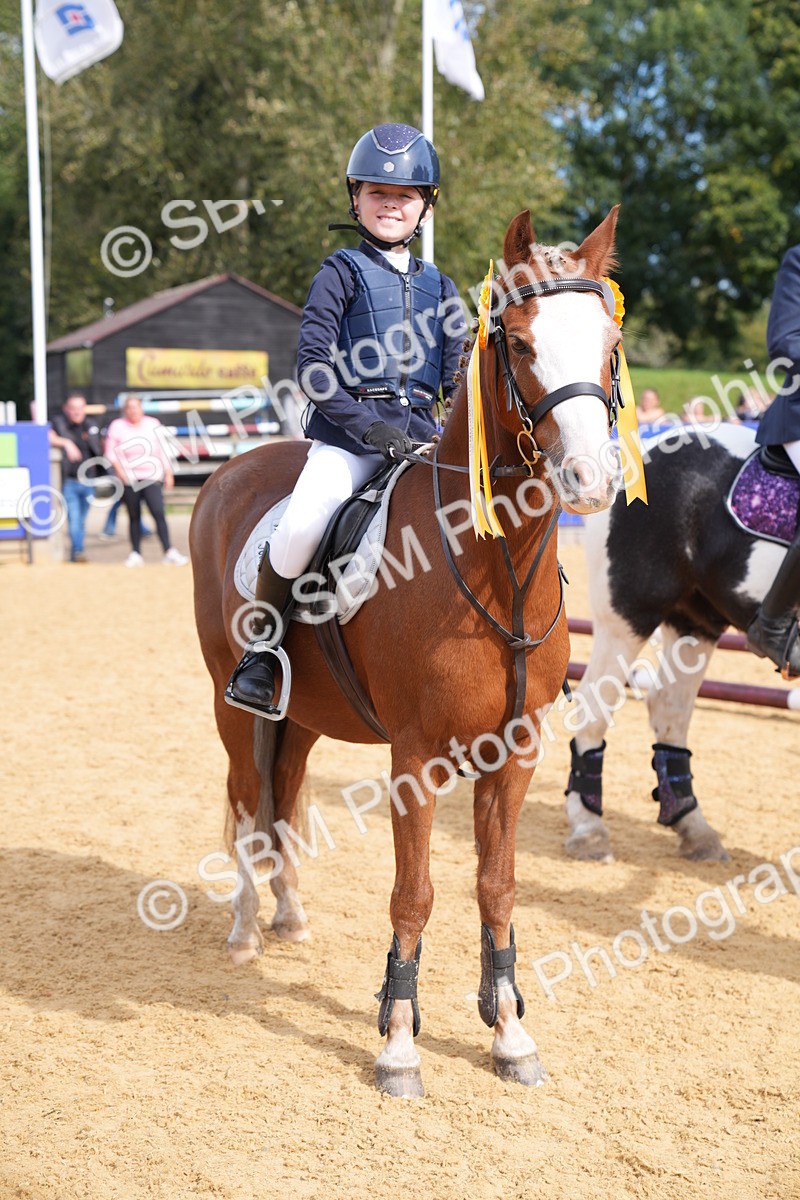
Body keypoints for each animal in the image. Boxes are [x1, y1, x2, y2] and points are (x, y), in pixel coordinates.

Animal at [190, 207, 624, 1098]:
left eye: (609, 342)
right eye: (519, 343)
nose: (592, 479)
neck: (492, 572)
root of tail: (230, 470)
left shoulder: (515, 754)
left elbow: (496, 885)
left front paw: (510, 1031)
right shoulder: (415, 760)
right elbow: (413, 894)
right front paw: (397, 1042)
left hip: (304, 715)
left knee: (284, 793)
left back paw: (290, 915)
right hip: (229, 702)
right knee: (249, 802)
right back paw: (247, 929)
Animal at [563, 420, 797, 864]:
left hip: (696, 619)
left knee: (669, 709)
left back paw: (694, 827)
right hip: (629, 614)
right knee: (594, 705)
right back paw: (587, 828)